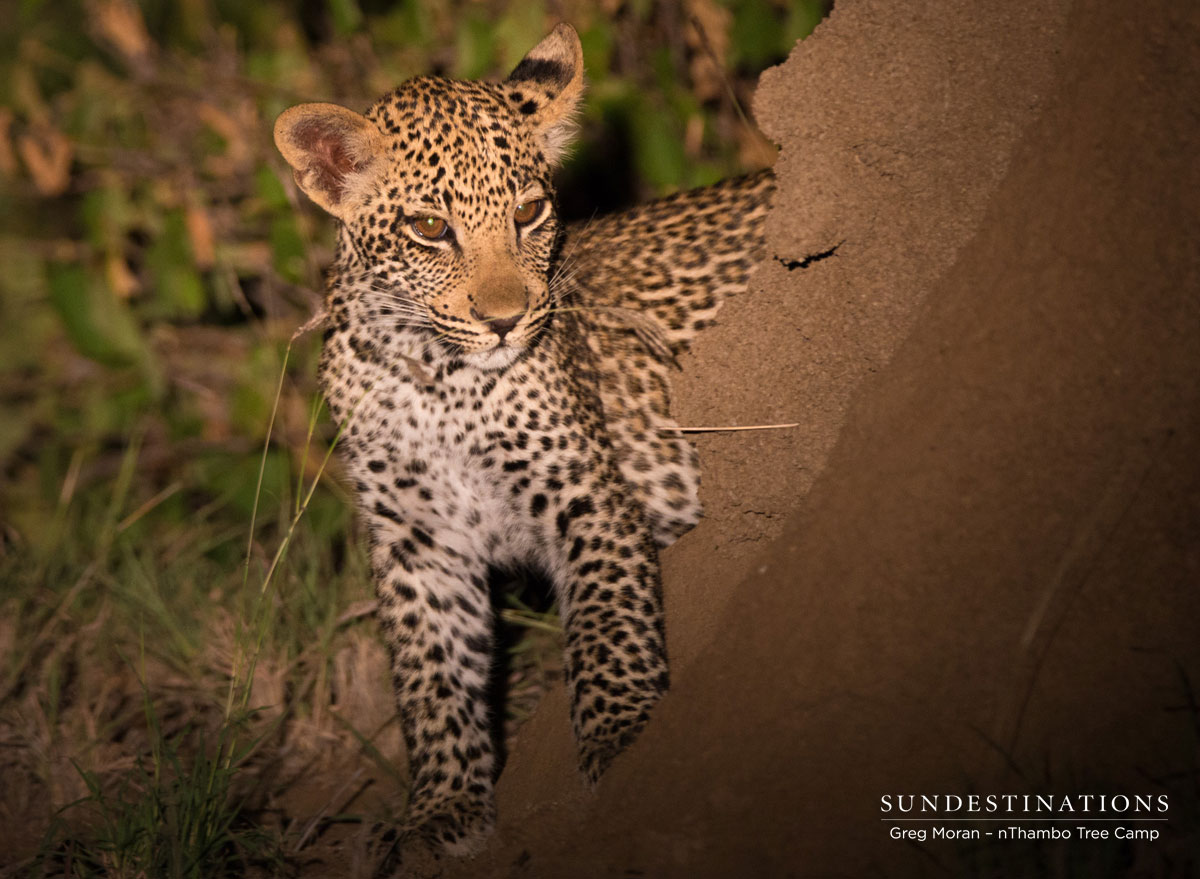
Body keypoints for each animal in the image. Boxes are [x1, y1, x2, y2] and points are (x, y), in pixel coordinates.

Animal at [274, 23, 773, 858]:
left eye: (531, 211)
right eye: (430, 229)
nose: (506, 319)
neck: (436, 378)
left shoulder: (588, 494)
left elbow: (609, 626)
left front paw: (621, 738)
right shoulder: (417, 541)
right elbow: (429, 675)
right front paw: (441, 807)